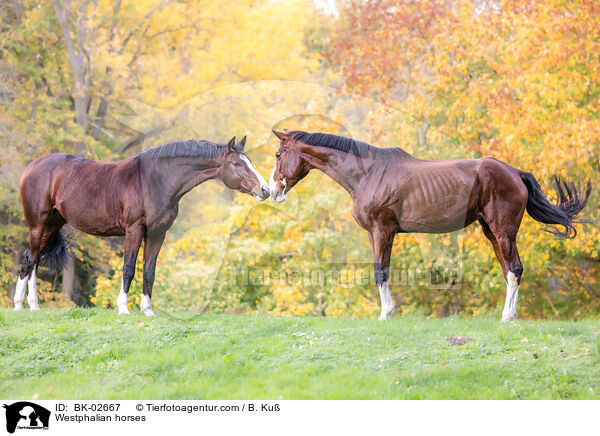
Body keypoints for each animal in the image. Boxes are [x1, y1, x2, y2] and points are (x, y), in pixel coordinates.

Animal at [14, 135, 268, 314]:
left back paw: (29, 306)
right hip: (37, 223)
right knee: (31, 259)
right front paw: (123, 309)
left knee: (32, 258)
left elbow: (149, 271)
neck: (156, 180)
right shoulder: (133, 230)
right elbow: (129, 268)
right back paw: (23, 305)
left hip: (53, 223)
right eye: (236, 163)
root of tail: (32, 166)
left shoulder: (157, 234)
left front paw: (147, 310)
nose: (265, 189)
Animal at [270, 129, 592, 320]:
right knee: (509, 270)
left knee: (514, 270)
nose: (273, 191)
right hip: (491, 232)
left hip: (504, 231)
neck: (368, 173)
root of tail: (514, 172)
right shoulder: (377, 234)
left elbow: (381, 271)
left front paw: (386, 314)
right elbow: (379, 271)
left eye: (278, 154)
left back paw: (506, 318)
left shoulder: (383, 230)